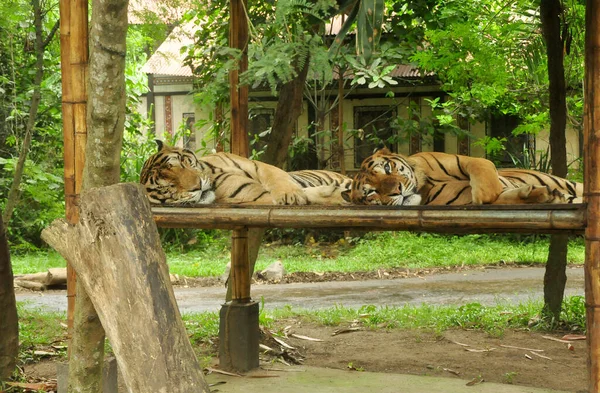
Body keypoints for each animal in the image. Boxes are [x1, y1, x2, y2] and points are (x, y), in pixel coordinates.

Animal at [352, 147, 580, 207]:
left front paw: (485, 194)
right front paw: (545, 196)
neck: (425, 186)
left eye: (387, 168)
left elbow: (481, 171)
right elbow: (504, 198)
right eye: (372, 192)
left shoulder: (468, 160)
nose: (397, 190)